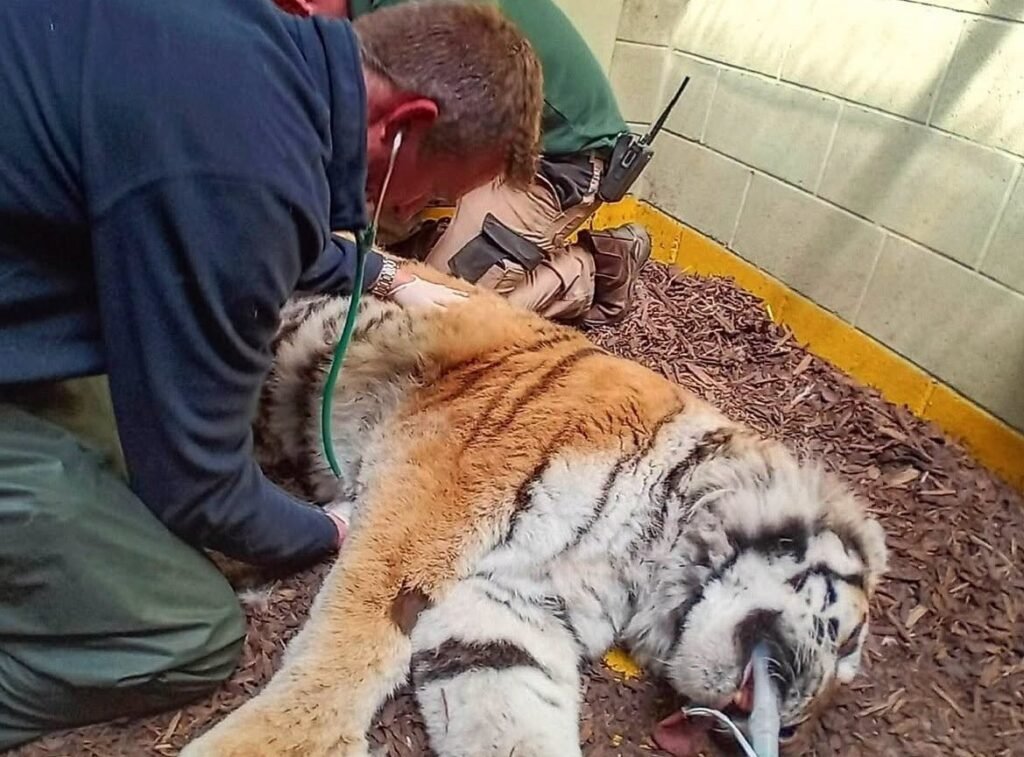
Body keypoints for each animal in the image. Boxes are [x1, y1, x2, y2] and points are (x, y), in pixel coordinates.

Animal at [181, 261, 888, 757]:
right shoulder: (444, 481)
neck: (655, 555)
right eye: (850, 641)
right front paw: (272, 746)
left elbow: (507, 705)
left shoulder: (510, 606)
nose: (790, 734)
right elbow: (361, 632)